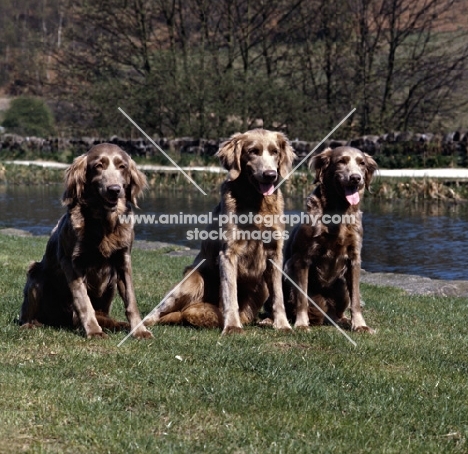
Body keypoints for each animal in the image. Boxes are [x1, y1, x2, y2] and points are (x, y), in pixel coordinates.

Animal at [20, 144, 153, 338]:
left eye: (122, 167)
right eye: (98, 165)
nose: (114, 189)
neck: (103, 223)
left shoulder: (123, 259)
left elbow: (131, 300)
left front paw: (139, 330)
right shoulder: (71, 261)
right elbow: (83, 300)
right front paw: (94, 330)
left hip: (111, 283)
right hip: (35, 273)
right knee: (29, 315)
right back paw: (31, 324)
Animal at [144, 127, 294, 334]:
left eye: (275, 152)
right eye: (253, 151)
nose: (270, 174)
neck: (256, 202)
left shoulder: (274, 252)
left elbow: (278, 295)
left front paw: (282, 324)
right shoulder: (228, 252)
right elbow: (230, 293)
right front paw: (232, 326)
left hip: (261, 285)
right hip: (192, 280)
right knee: (158, 311)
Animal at [282, 145, 376, 334]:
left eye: (362, 163)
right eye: (341, 161)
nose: (356, 178)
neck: (338, 213)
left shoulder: (354, 258)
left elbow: (356, 299)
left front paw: (360, 324)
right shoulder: (301, 259)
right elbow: (301, 297)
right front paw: (301, 324)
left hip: (341, 287)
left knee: (339, 312)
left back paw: (344, 320)